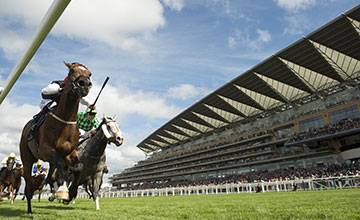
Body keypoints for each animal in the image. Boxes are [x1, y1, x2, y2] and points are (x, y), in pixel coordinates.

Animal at [19, 62, 93, 213]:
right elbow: (60, 165)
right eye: (72, 71)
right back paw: (29, 208)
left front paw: (72, 193)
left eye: (89, 74)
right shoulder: (46, 150)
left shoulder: (70, 152)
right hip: (27, 158)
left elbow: (79, 167)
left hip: (50, 160)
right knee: (29, 182)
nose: (84, 84)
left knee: (50, 176)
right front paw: (63, 191)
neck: (65, 121)